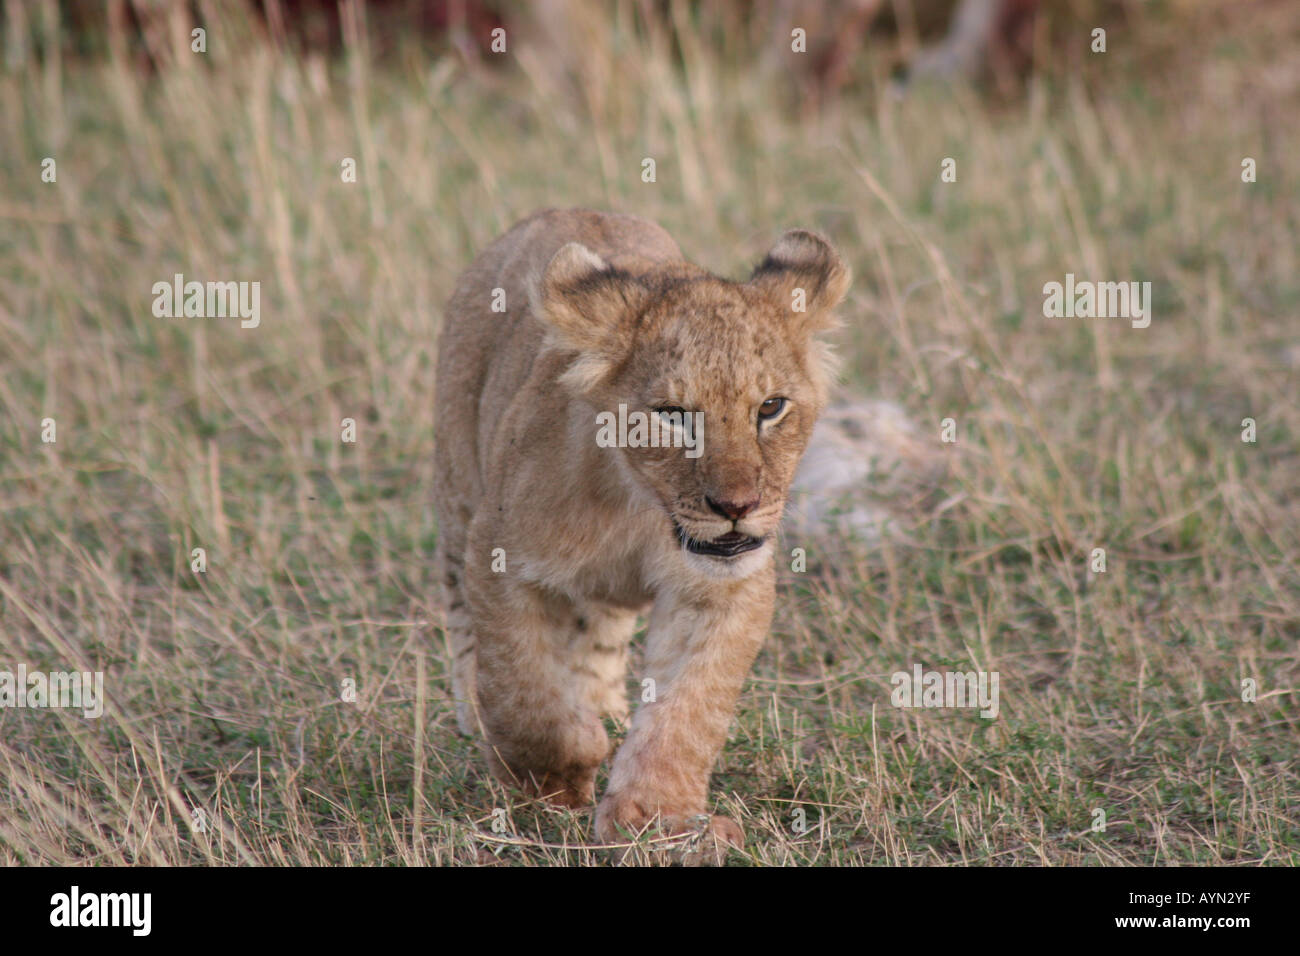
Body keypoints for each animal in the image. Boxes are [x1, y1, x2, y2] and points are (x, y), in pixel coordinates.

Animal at [433, 208, 849, 859]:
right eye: (673, 416)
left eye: (771, 407)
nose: (738, 505)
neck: (639, 508)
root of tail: (561, 210)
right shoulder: (500, 557)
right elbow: (521, 689)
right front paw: (554, 780)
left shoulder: (722, 589)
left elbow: (688, 710)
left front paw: (658, 818)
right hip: (456, 491)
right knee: (462, 619)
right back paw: (477, 717)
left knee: (600, 638)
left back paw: (604, 707)